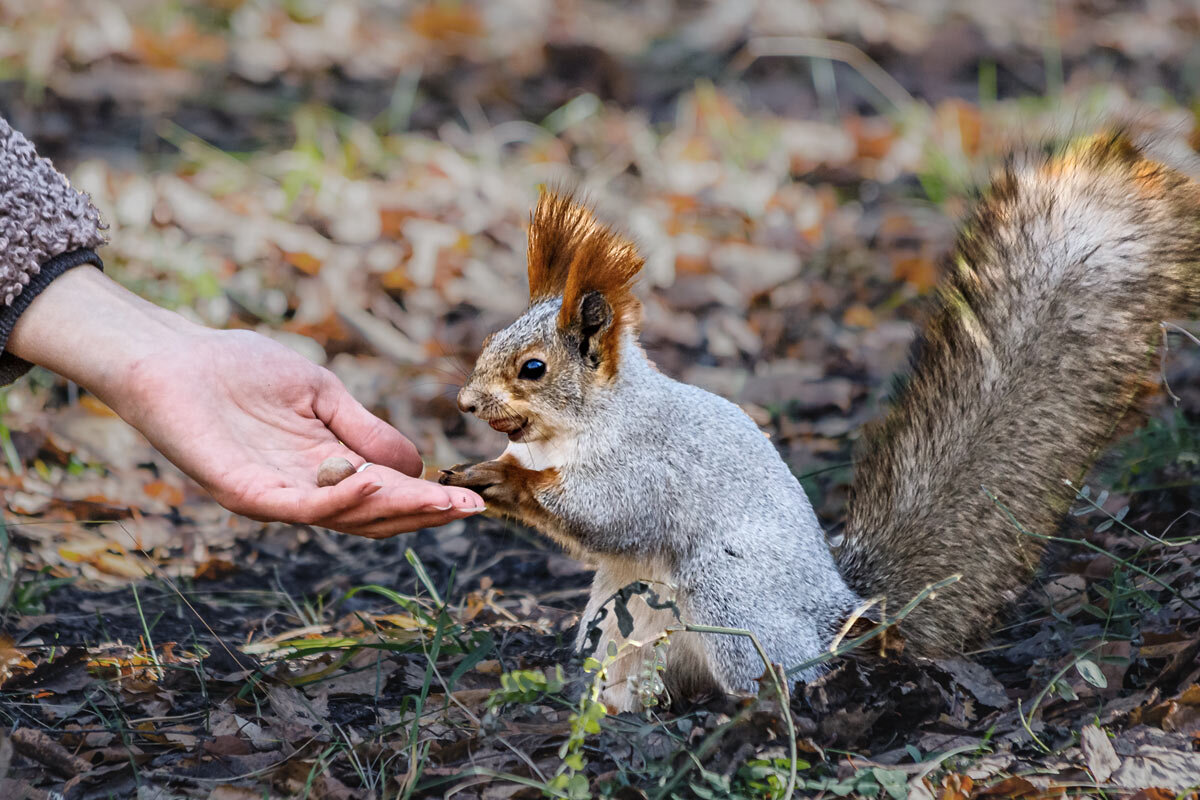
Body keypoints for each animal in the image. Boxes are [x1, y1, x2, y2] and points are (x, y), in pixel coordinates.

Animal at [439, 133, 1200, 714]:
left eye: (533, 368)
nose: (466, 405)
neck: (579, 429)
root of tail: (839, 612)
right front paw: (479, 472)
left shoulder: (651, 465)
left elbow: (612, 513)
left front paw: (507, 481)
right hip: (623, 631)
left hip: (732, 595)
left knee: (780, 672)